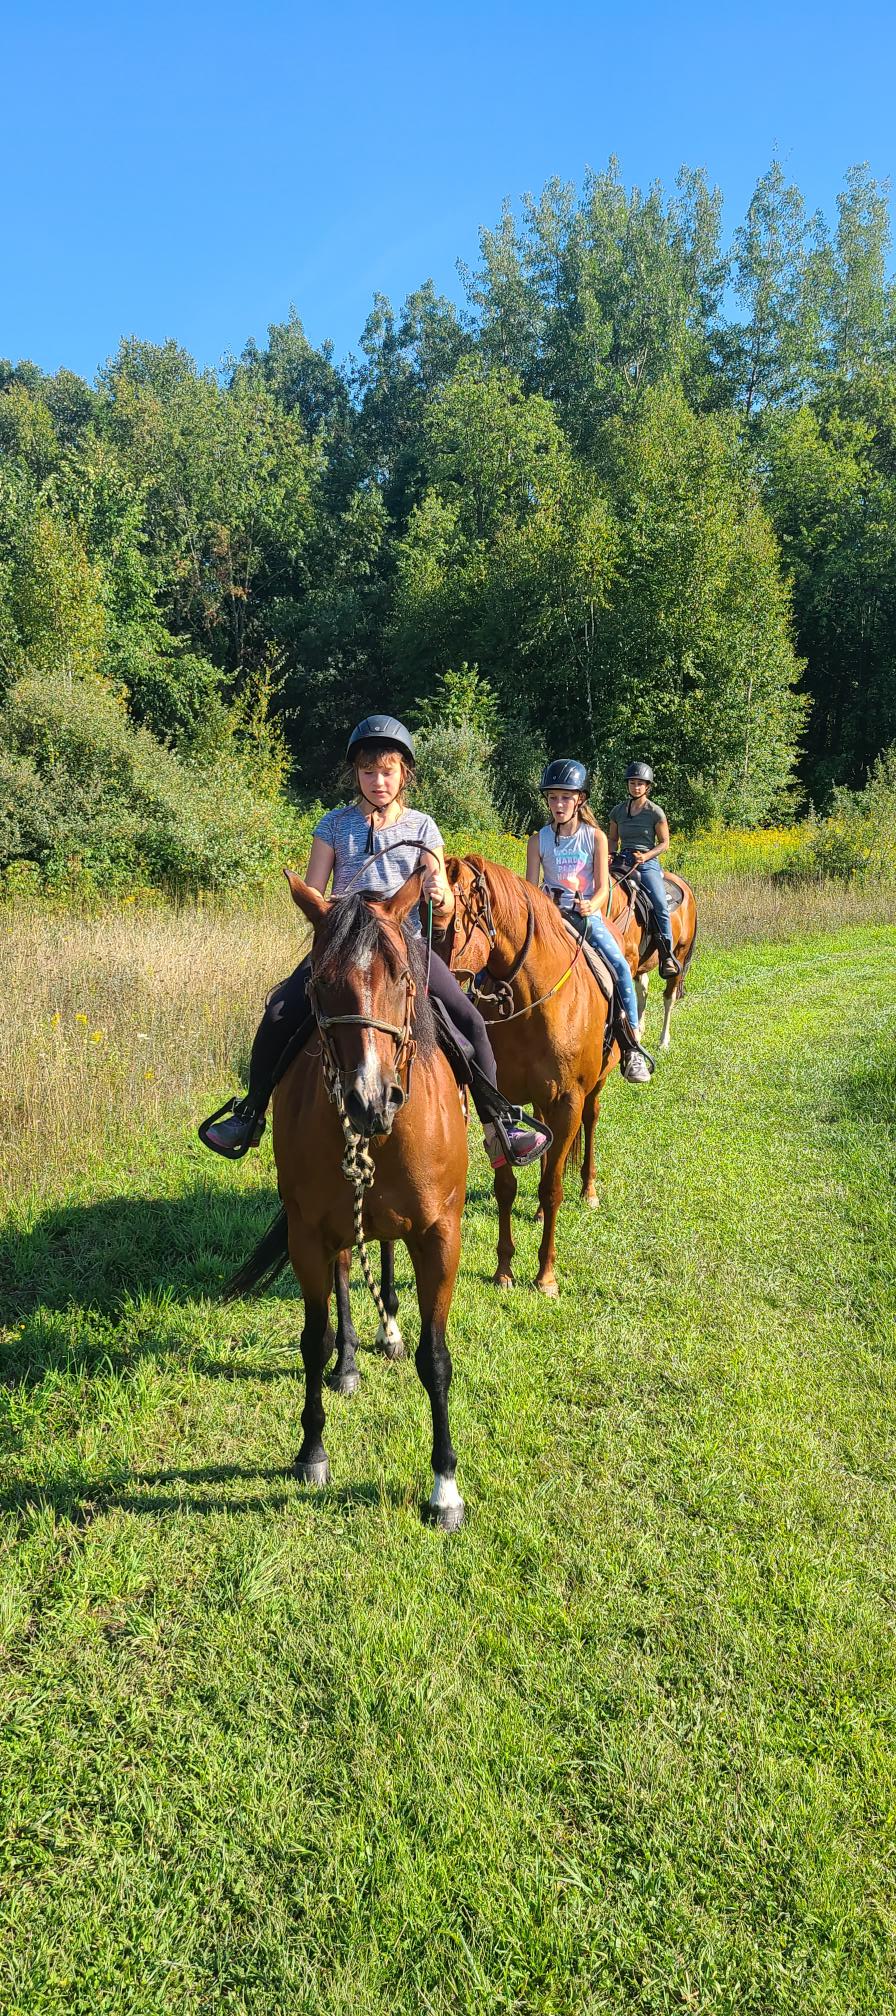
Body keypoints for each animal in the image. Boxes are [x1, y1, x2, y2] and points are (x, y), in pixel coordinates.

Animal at [439, 850, 617, 1290]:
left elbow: (552, 1188)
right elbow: (506, 1185)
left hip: (594, 1088)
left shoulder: (569, 1100)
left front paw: (545, 1275)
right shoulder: (499, 1100)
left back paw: (588, 1190)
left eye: (449, 919)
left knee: (590, 1123)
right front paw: (504, 1268)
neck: (531, 1000)